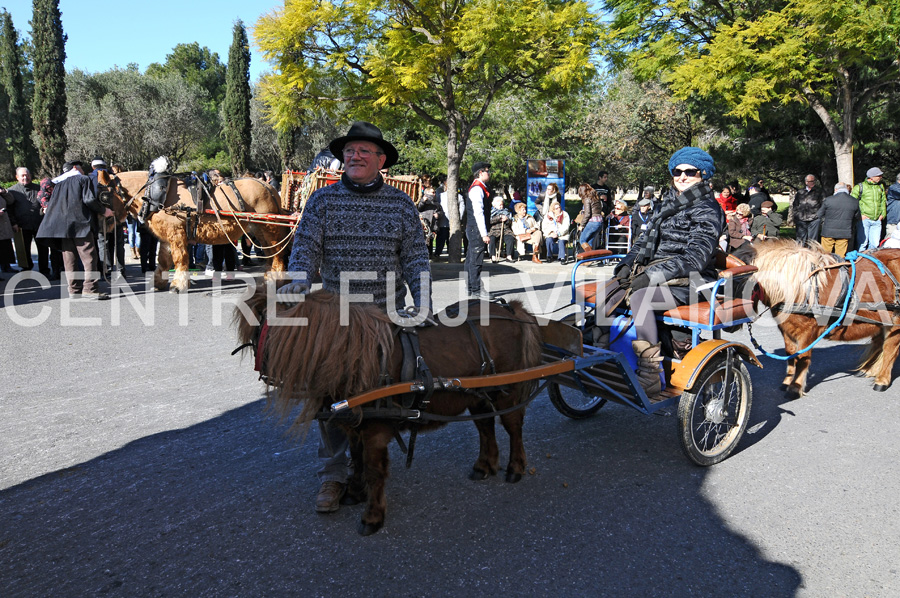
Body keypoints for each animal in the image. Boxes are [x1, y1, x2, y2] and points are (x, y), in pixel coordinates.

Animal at [111, 171, 288, 292]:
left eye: (105, 194)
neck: (156, 194)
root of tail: (269, 187)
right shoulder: (167, 237)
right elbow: (163, 260)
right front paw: (158, 282)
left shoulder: (177, 234)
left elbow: (180, 258)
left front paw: (178, 285)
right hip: (260, 230)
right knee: (270, 253)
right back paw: (268, 276)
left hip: (269, 228)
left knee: (278, 252)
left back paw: (276, 278)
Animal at [232, 290, 540, 540]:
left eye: (258, 329)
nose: (264, 372)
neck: (355, 356)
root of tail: (511, 309)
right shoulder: (354, 426)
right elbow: (357, 460)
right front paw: (355, 493)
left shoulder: (375, 432)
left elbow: (374, 470)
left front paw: (372, 516)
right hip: (477, 394)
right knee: (485, 425)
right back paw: (484, 465)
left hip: (506, 391)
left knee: (513, 425)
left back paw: (515, 467)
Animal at [748, 239, 900, 398]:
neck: (802, 289)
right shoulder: (786, 331)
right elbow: (790, 354)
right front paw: (787, 381)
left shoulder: (808, 332)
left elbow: (802, 358)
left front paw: (795, 387)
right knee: (879, 342)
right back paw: (869, 369)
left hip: (896, 320)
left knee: (890, 348)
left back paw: (882, 380)